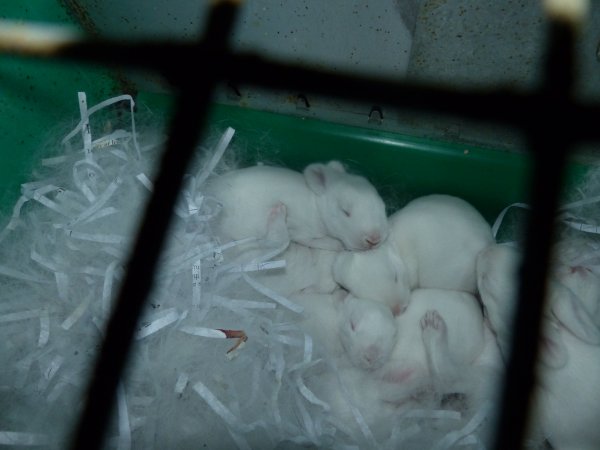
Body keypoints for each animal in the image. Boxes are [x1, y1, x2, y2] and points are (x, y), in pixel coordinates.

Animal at [205, 162, 390, 253]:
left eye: (383, 207)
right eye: (345, 212)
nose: (374, 240)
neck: (316, 206)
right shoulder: (302, 232)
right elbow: (318, 242)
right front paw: (337, 245)